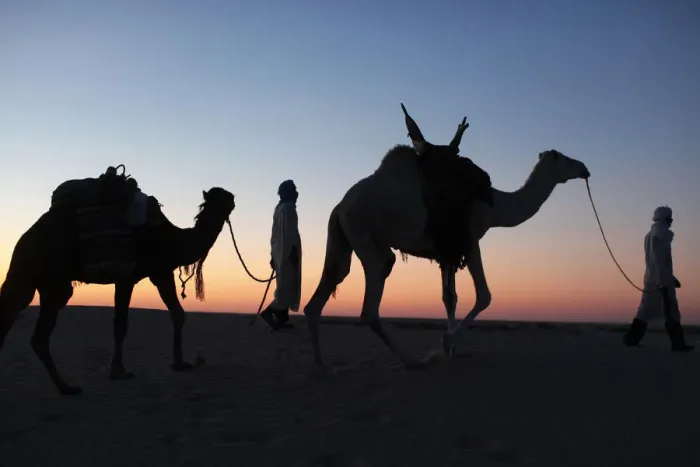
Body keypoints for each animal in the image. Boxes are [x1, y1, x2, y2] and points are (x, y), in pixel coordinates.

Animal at [0, 184, 235, 395]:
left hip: (31, 275)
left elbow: (177, 313)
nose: (233, 198)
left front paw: (179, 363)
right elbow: (121, 324)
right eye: (223, 197)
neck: (172, 239)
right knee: (37, 334)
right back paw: (67, 387)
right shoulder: (131, 276)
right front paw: (118, 371)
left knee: (14, 311)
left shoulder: (159, 272)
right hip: (51, 277)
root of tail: (28, 235)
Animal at [303, 104, 591, 375]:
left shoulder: (447, 251)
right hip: (364, 233)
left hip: (344, 238)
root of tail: (340, 206)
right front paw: (446, 343)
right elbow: (484, 295)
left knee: (328, 286)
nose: (585, 168)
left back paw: (321, 368)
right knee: (371, 302)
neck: (495, 205)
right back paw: (412, 362)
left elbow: (449, 297)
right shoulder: (470, 239)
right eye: (564, 158)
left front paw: (453, 350)